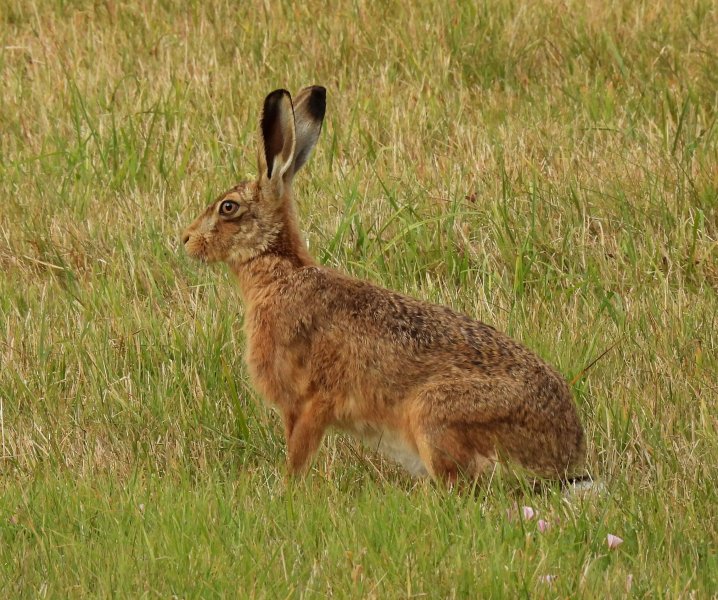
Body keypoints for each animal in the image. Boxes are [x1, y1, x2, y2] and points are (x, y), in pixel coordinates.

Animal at [181, 86, 587, 486]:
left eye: (228, 207)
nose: (186, 239)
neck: (280, 270)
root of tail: (567, 455)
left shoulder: (311, 401)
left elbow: (298, 454)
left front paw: (287, 491)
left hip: (434, 414)